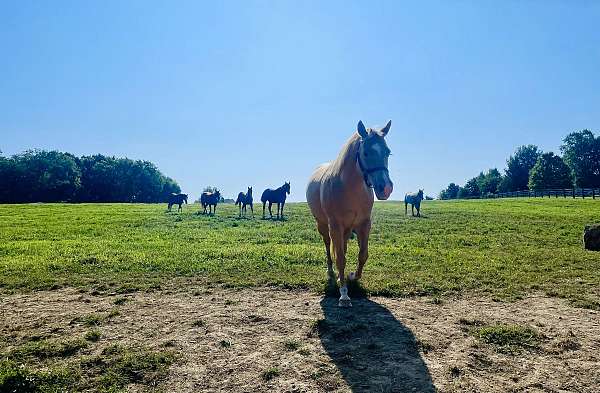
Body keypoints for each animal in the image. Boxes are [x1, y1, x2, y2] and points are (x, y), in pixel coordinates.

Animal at [304, 119, 394, 306]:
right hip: (324, 226)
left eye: (388, 152)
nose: (386, 188)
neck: (350, 189)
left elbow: (362, 255)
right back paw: (332, 273)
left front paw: (352, 276)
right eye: (366, 153)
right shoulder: (335, 226)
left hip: (345, 230)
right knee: (328, 247)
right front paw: (344, 294)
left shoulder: (364, 225)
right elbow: (339, 258)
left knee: (343, 248)